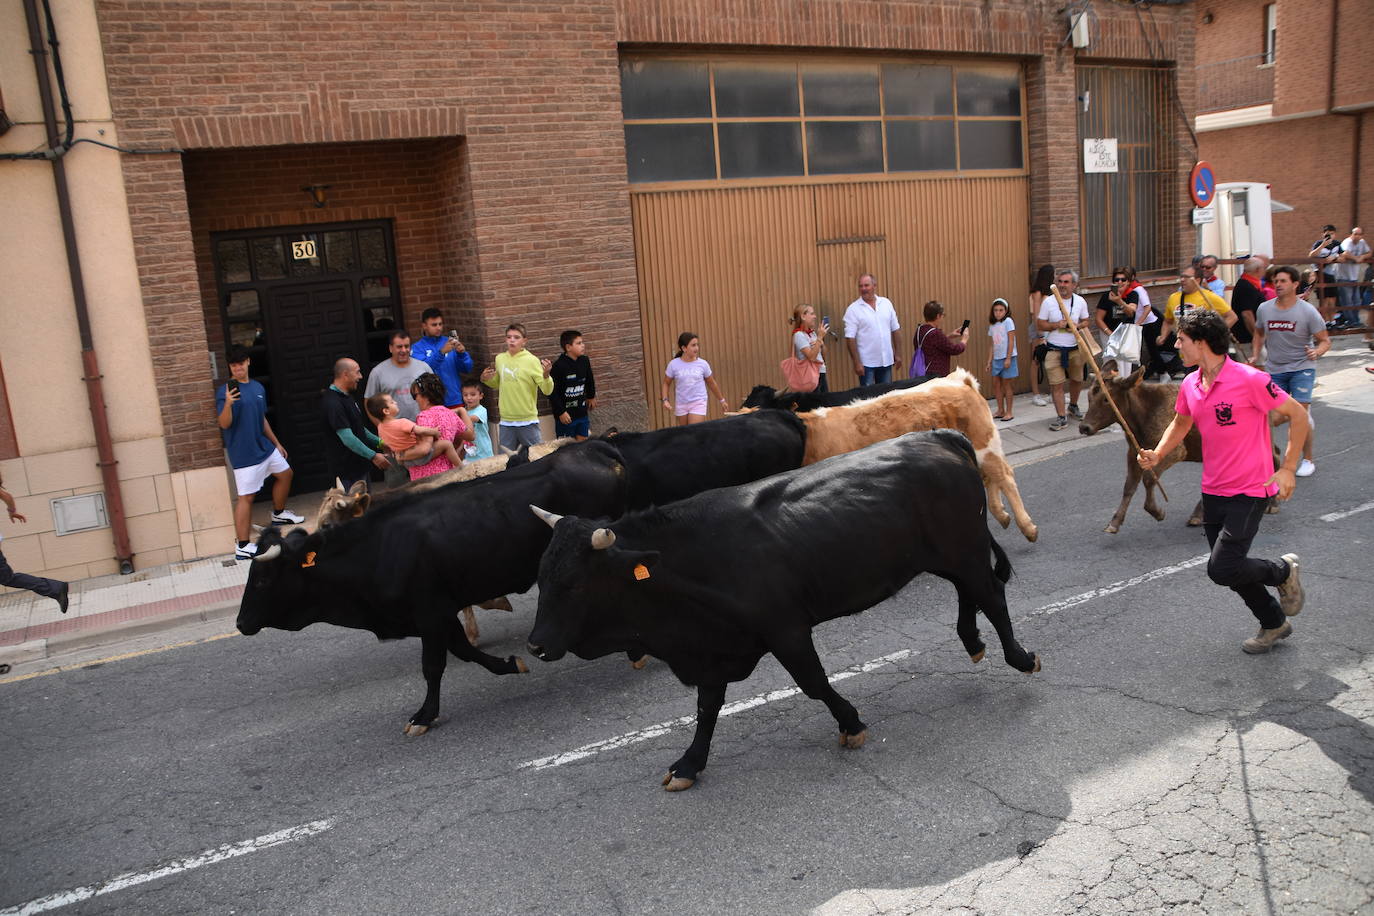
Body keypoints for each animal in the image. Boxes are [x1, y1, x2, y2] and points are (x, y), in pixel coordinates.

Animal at [230, 411, 802, 736]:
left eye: (263, 579)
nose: (239, 624)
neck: (377, 546)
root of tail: (598, 446)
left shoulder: (428, 611)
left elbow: (436, 664)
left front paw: (424, 715)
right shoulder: (437, 611)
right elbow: (462, 651)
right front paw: (507, 664)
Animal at [527, 433, 1038, 791]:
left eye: (573, 583)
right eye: (542, 577)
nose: (534, 645)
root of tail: (938, 436)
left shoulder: (785, 629)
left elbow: (813, 683)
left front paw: (850, 723)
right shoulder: (713, 647)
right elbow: (707, 708)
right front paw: (690, 763)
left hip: (964, 549)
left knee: (991, 595)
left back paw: (1019, 656)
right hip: (950, 554)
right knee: (970, 593)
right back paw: (972, 643)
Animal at [802, 368, 1033, 543]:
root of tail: (957, 379)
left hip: (984, 443)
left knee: (1004, 476)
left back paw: (1027, 527)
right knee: (990, 476)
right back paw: (1002, 516)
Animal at [1071, 368, 1275, 532]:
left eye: (1106, 399)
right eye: (1089, 397)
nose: (1084, 427)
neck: (1144, 413)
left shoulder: (1175, 452)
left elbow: (1148, 479)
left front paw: (1157, 512)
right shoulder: (1134, 453)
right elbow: (1129, 486)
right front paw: (1114, 522)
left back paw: (1271, 503)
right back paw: (1199, 515)